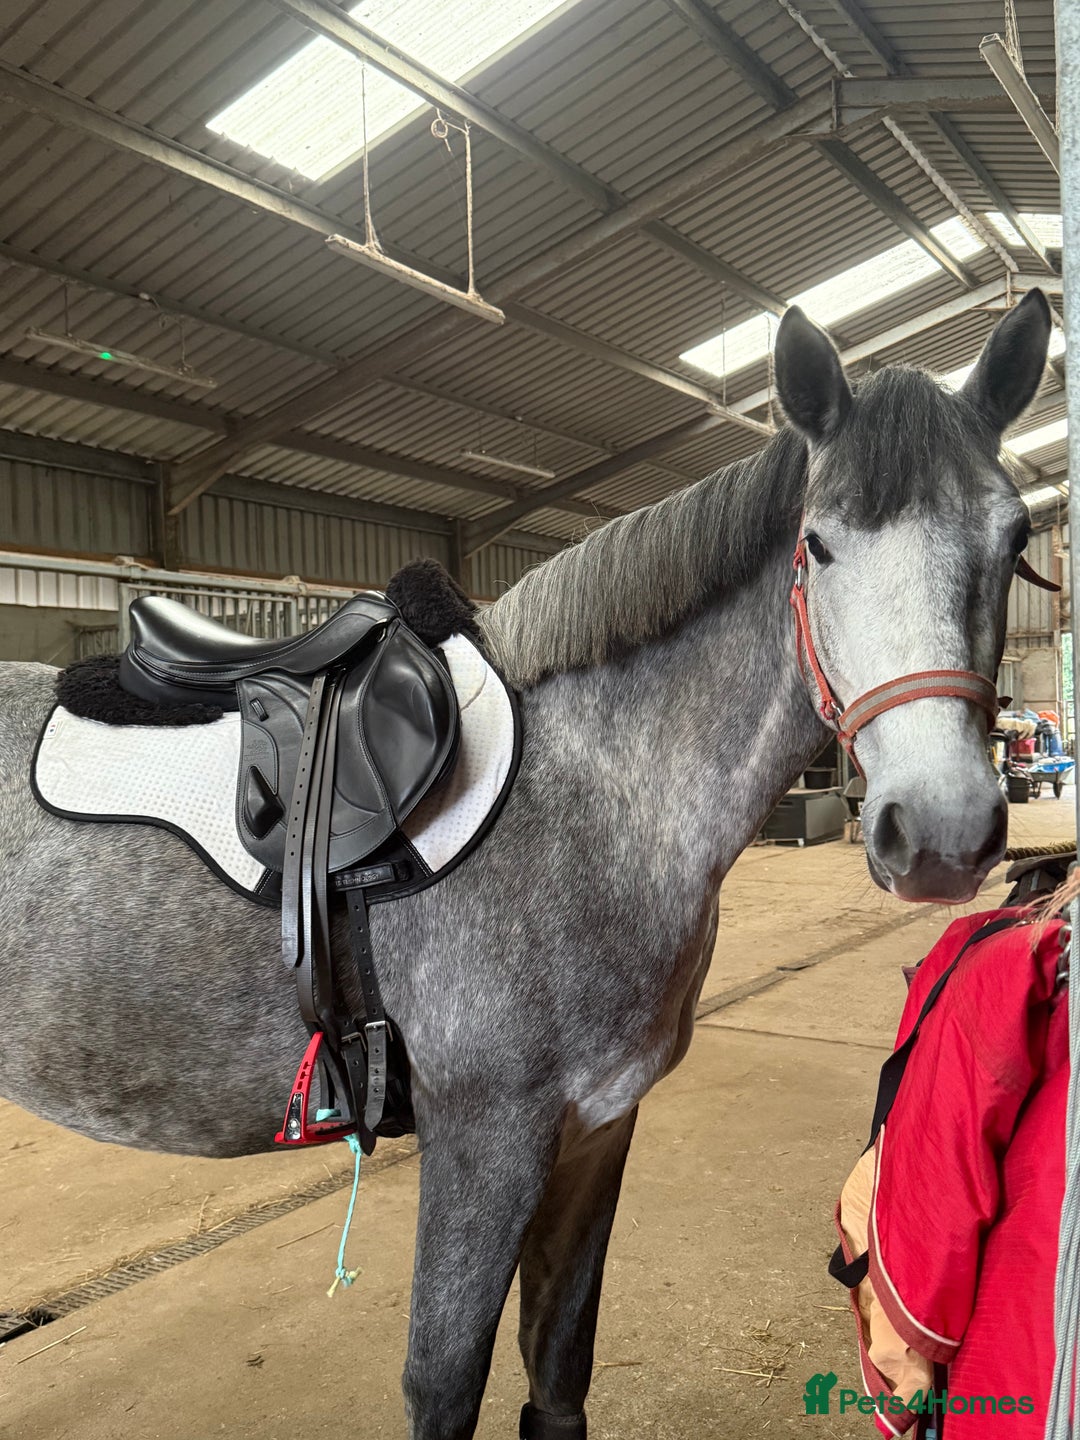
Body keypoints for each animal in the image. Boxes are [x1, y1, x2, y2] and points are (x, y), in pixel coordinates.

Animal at [0, 290, 1050, 1440]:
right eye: (818, 545)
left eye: (1014, 537)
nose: (941, 832)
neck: (586, 793)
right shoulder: (487, 1139)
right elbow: (445, 1383)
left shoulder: (596, 1128)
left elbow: (557, 1374)